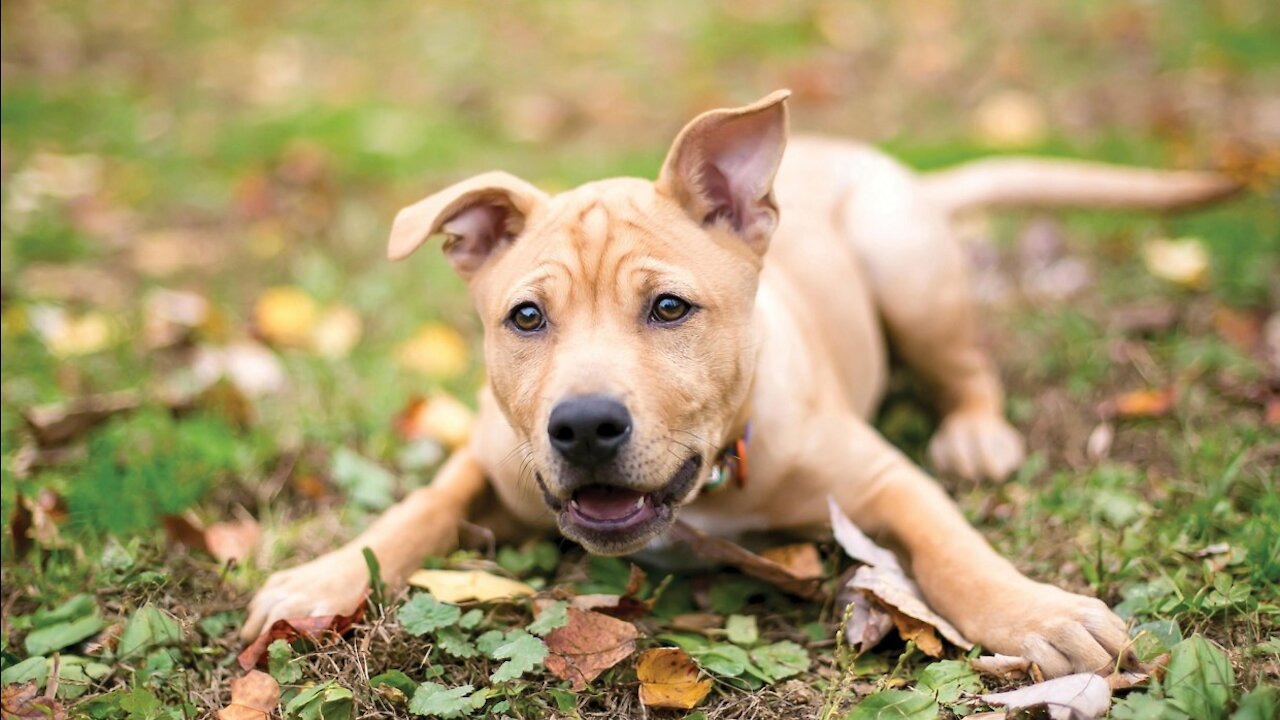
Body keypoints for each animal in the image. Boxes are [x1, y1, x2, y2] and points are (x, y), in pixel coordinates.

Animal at [241, 90, 1239, 676]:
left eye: (670, 308)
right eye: (525, 318)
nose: (584, 427)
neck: (710, 489)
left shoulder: (883, 477)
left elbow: (953, 548)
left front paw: (1032, 612)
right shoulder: (493, 456)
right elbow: (419, 506)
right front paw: (323, 578)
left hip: (909, 268)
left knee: (968, 367)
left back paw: (977, 432)